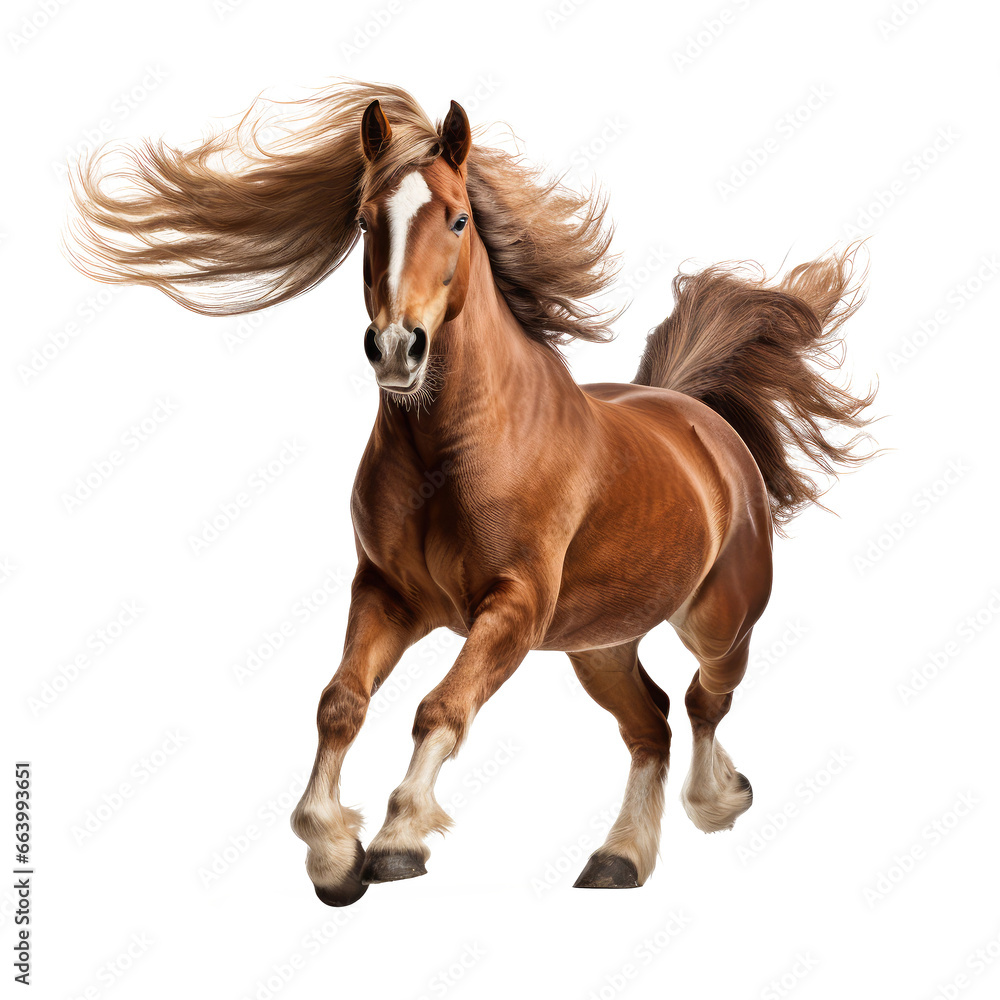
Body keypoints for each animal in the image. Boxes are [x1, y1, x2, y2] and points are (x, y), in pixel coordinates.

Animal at [66, 82, 876, 906]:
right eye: (365, 220)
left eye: (457, 218)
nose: (397, 348)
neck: (452, 451)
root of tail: (696, 417)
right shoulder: (389, 594)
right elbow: (340, 703)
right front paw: (330, 851)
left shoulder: (512, 606)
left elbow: (441, 706)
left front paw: (397, 839)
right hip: (598, 643)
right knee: (649, 723)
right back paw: (618, 860)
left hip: (716, 619)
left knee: (705, 699)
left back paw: (718, 799)